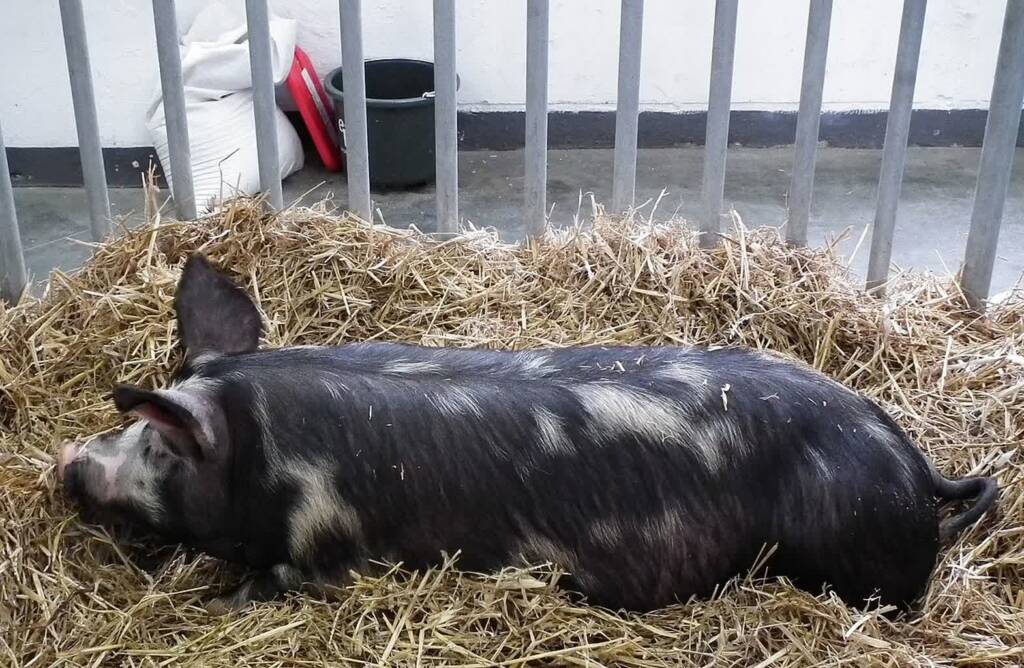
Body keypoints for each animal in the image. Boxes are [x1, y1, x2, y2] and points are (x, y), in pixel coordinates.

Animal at [57, 254, 998, 614]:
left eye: (157, 446)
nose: (67, 464)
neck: (271, 445)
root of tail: (917, 468)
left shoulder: (325, 549)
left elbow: (273, 581)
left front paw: (214, 602)